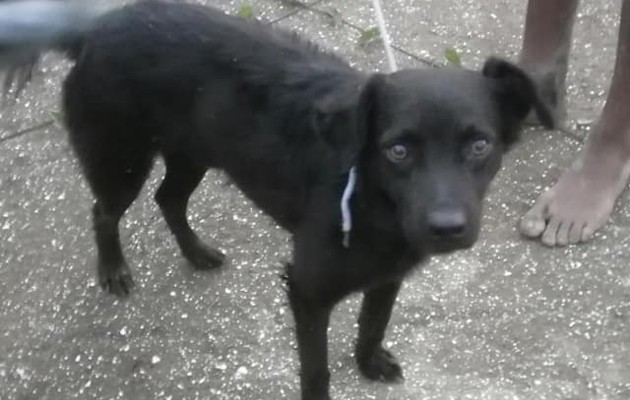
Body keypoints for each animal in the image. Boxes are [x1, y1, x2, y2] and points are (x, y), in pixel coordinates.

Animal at [0, 1, 552, 398]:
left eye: (479, 145)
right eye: (397, 150)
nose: (446, 228)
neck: (370, 197)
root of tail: (94, 30)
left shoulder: (387, 274)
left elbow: (373, 322)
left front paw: (368, 362)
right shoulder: (306, 291)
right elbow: (316, 368)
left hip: (194, 153)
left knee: (168, 199)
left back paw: (196, 253)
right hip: (121, 162)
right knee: (105, 212)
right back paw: (114, 270)